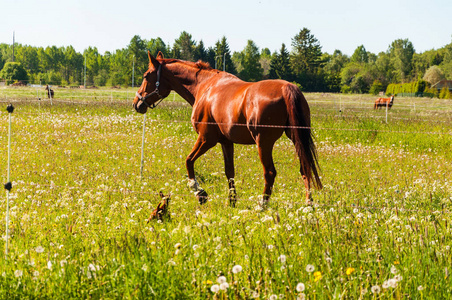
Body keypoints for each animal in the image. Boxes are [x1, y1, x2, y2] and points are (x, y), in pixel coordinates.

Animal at [132, 51, 324, 206]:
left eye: (146, 75)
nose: (136, 103)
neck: (205, 86)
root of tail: (287, 88)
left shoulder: (206, 139)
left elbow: (188, 161)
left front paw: (199, 192)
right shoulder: (226, 142)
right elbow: (229, 172)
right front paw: (231, 201)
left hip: (264, 143)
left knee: (269, 173)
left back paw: (263, 204)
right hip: (296, 138)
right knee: (305, 167)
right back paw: (308, 203)